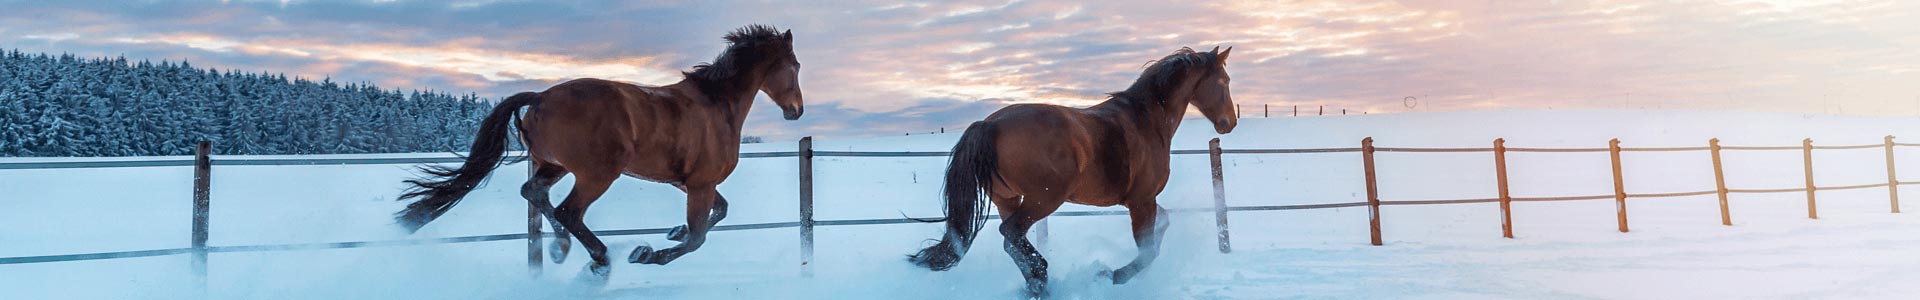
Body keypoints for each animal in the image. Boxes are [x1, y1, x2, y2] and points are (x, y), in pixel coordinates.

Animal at [397, 24, 802, 276]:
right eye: (795, 66)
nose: (796, 110)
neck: (718, 104)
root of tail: (540, 97)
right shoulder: (700, 183)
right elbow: (699, 236)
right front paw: (648, 254)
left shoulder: (689, 182)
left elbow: (720, 212)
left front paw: (672, 232)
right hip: (597, 174)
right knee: (569, 211)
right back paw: (600, 259)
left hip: (552, 165)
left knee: (534, 193)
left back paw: (560, 248)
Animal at [906, 46, 1236, 296]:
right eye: (1225, 81)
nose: (1229, 122)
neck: (1146, 119)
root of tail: (988, 125)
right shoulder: (1141, 201)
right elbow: (1148, 251)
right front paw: (1111, 275)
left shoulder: (1145, 201)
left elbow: (1162, 227)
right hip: (1043, 199)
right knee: (1010, 234)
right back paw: (1042, 276)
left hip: (1008, 200)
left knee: (1011, 240)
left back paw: (1038, 283)